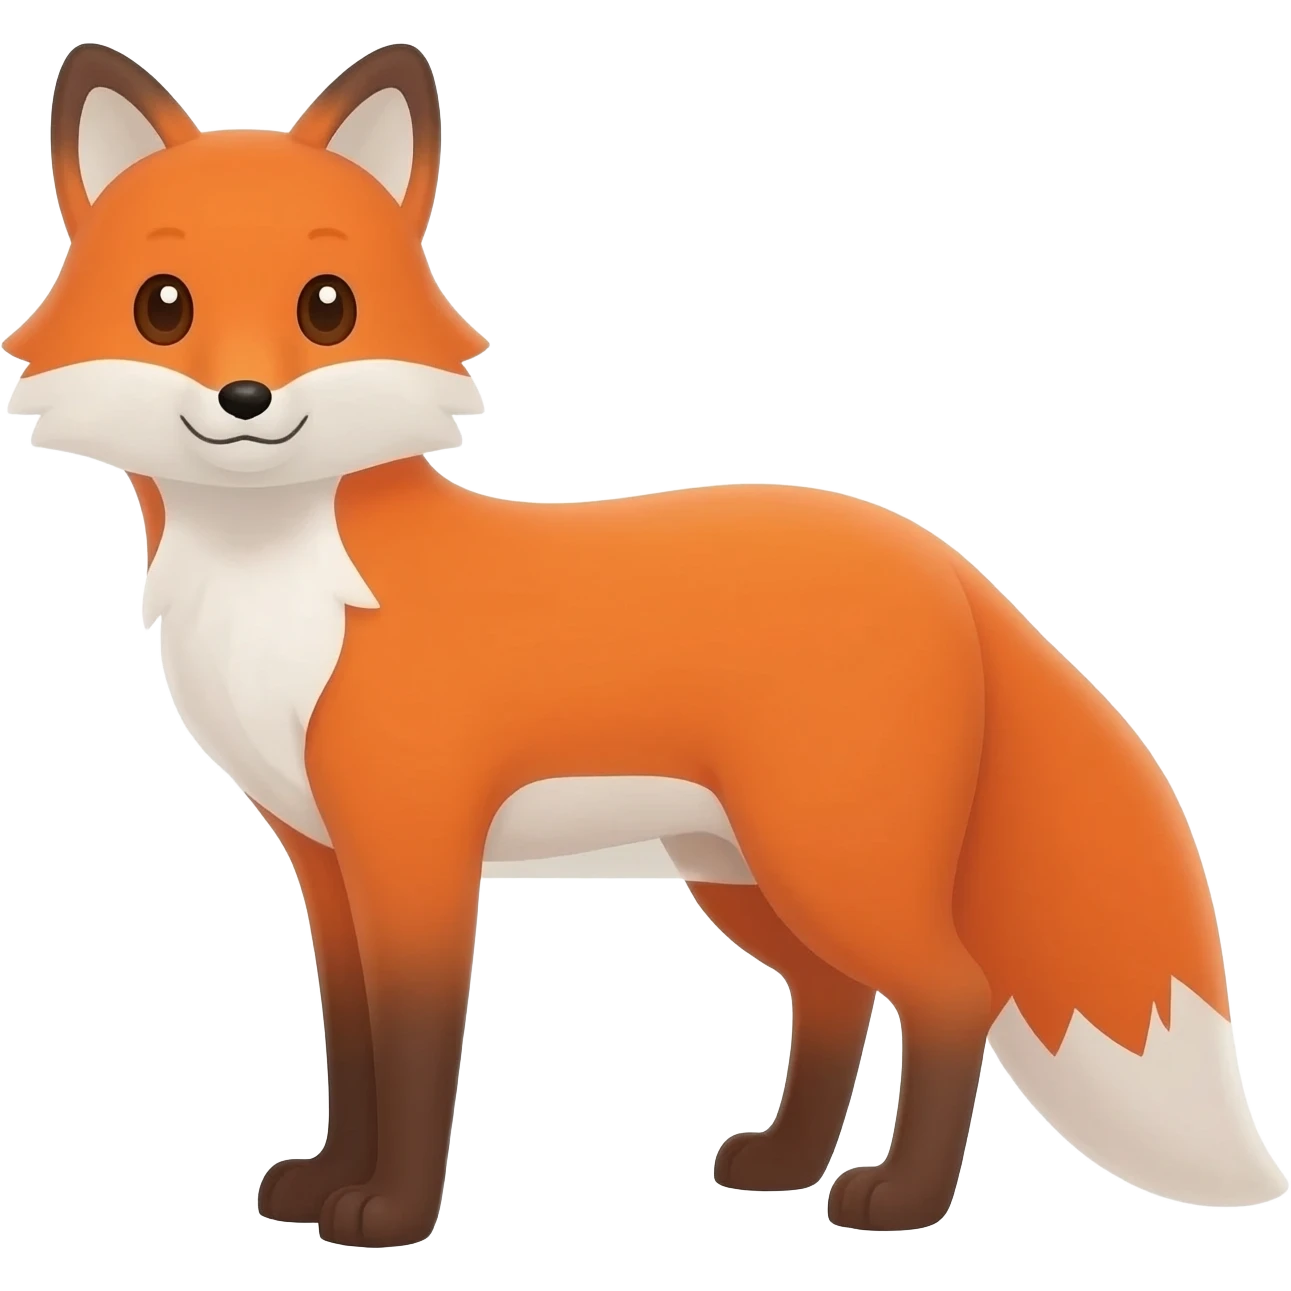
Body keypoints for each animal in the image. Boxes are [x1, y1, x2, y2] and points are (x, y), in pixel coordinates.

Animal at [4, 39, 1286, 1249]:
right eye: (163, 305)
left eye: (328, 306)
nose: (245, 399)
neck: (285, 593)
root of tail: (941, 558)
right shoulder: (324, 861)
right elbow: (354, 1047)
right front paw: (326, 1183)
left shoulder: (416, 848)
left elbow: (416, 1052)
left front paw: (392, 1213)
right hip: (742, 871)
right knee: (835, 1000)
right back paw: (784, 1163)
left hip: (829, 859)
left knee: (950, 994)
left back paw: (901, 1198)